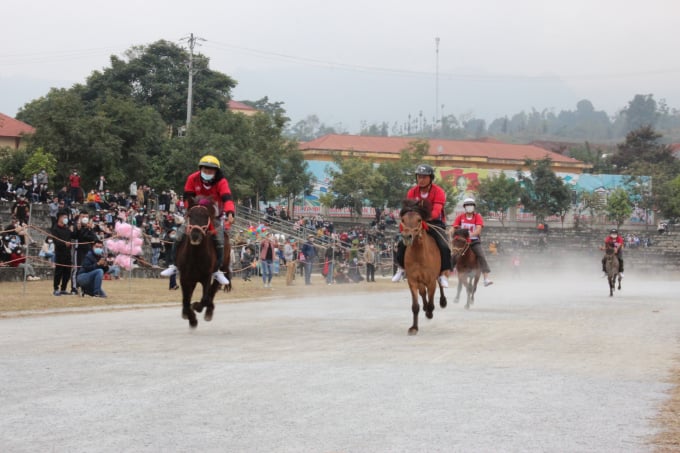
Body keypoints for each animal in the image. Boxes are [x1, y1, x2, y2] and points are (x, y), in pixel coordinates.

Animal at [398, 199, 446, 336]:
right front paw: (414, 327)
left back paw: (442, 302)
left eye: (419, 219)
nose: (407, 237)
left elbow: (431, 300)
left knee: (440, 284)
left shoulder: (430, 281)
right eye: (403, 219)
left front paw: (430, 312)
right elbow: (415, 305)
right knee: (423, 293)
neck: (419, 255)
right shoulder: (413, 280)